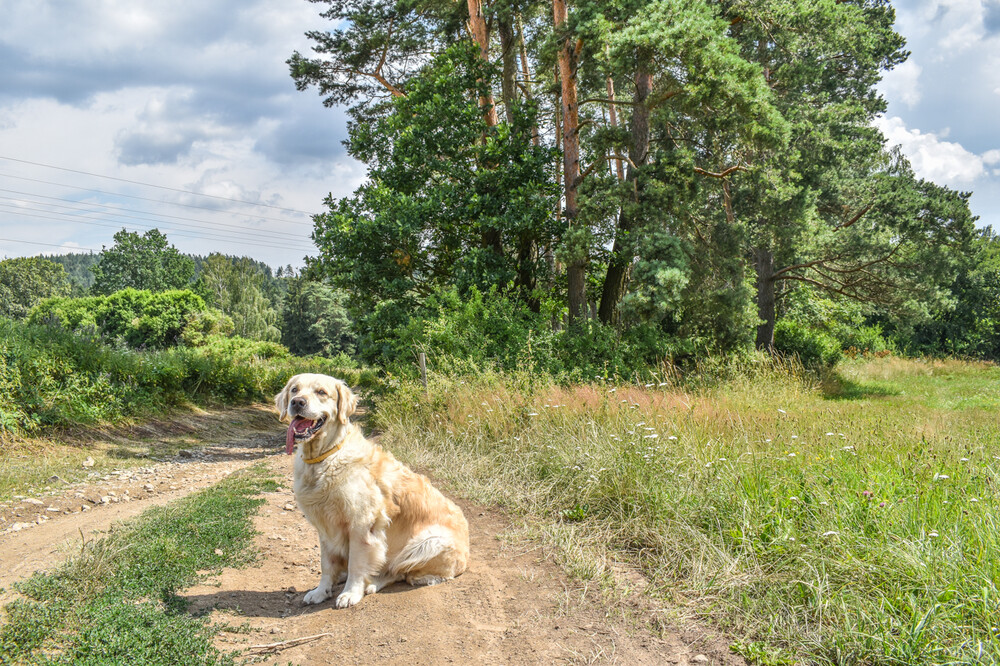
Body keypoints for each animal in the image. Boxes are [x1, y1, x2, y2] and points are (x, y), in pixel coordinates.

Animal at [274, 370, 468, 604]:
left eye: (321, 392)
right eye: (294, 389)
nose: (297, 402)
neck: (325, 456)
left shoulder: (362, 524)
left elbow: (357, 563)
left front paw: (351, 592)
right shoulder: (325, 527)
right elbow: (327, 564)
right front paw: (321, 591)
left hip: (427, 543)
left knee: (402, 572)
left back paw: (376, 583)